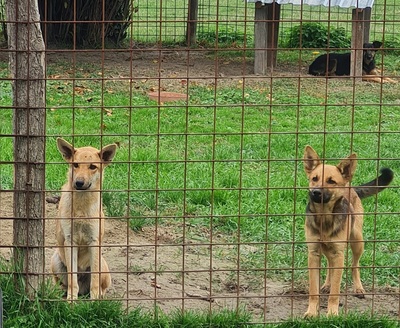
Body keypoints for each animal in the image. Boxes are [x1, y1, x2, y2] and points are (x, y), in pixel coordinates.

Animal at [50, 137, 117, 302]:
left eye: (93, 167)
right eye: (75, 165)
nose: (79, 183)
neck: (81, 208)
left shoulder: (94, 241)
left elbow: (95, 282)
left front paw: (95, 302)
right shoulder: (70, 241)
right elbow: (72, 280)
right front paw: (71, 302)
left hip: (101, 264)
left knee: (101, 285)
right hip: (55, 260)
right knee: (64, 283)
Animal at [304, 145, 394, 316]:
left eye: (331, 181)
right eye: (314, 178)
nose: (315, 193)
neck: (324, 217)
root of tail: (350, 186)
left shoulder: (339, 253)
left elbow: (335, 291)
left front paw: (332, 314)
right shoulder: (314, 253)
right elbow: (313, 289)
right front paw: (312, 312)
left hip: (357, 241)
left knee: (354, 265)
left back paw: (358, 288)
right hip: (330, 248)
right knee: (329, 264)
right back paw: (327, 284)